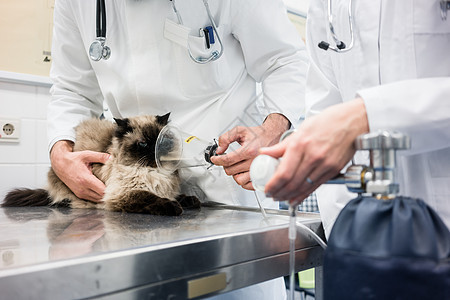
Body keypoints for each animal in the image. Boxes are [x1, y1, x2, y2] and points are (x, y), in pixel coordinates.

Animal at [1, 113, 199, 216]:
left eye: (163, 141)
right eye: (143, 143)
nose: (155, 152)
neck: (153, 171)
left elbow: (176, 196)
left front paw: (192, 201)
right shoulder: (123, 194)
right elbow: (152, 198)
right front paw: (175, 207)